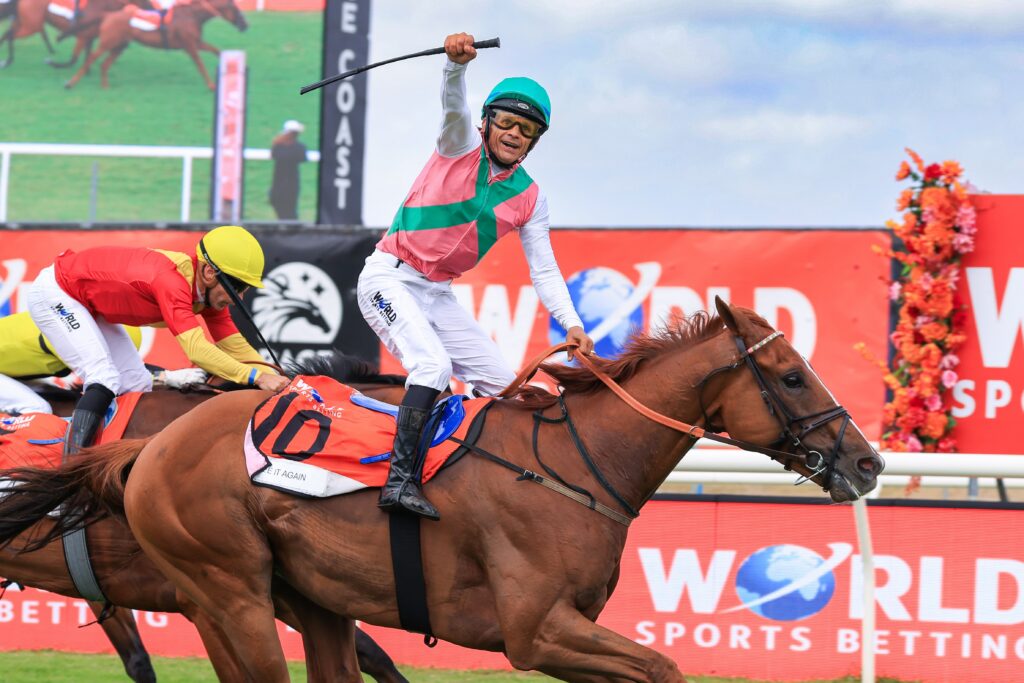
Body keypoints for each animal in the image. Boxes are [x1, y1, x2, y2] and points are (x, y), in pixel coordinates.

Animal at [64, 0, 247, 90]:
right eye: (236, 9)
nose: (246, 25)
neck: (192, 15)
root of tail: (108, 14)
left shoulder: (196, 42)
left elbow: (217, 50)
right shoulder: (190, 46)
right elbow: (200, 65)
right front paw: (212, 86)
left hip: (120, 45)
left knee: (104, 64)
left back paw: (105, 87)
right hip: (108, 42)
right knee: (92, 59)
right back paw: (70, 83)